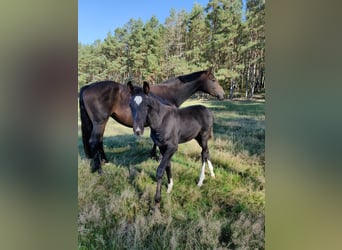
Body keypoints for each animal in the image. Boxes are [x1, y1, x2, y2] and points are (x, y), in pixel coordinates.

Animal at [79, 68, 226, 174]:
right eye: (213, 79)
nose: (222, 94)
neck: (170, 93)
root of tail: (87, 87)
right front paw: (158, 156)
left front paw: (154, 155)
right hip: (100, 122)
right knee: (94, 141)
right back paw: (100, 169)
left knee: (99, 141)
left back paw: (104, 161)